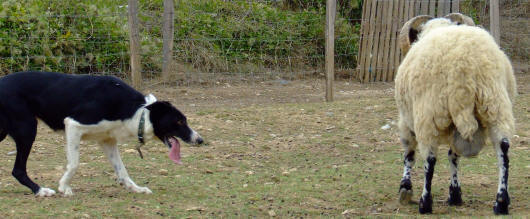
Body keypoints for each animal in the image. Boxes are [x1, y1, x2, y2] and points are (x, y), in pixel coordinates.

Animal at [0, 71, 202, 197]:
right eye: (179, 121)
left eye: (185, 120)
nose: (200, 140)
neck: (137, 112)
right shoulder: (73, 125)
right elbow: (74, 164)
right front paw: (64, 187)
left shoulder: (107, 141)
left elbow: (122, 170)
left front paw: (135, 188)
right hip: (27, 129)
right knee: (18, 169)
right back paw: (40, 190)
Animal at [394, 12, 512, 215]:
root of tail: (466, 66)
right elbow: (453, 156)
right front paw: (455, 194)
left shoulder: (407, 120)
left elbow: (409, 153)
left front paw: (405, 188)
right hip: (496, 105)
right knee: (503, 149)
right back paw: (501, 202)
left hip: (428, 113)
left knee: (430, 158)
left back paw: (425, 203)